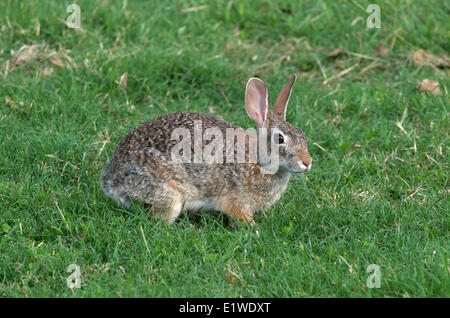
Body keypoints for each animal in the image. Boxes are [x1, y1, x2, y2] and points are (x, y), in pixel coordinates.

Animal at [101, 75, 312, 225]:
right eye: (280, 139)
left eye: (301, 133)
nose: (308, 162)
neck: (257, 160)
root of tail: (110, 182)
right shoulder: (234, 200)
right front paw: (255, 229)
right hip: (167, 192)